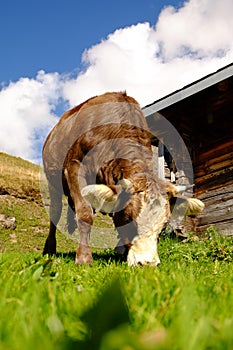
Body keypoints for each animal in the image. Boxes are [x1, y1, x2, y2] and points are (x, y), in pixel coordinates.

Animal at [42, 91, 204, 266]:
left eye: (163, 226)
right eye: (129, 219)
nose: (147, 263)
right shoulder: (75, 166)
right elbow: (85, 213)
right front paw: (84, 258)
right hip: (53, 181)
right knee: (55, 211)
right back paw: (49, 250)